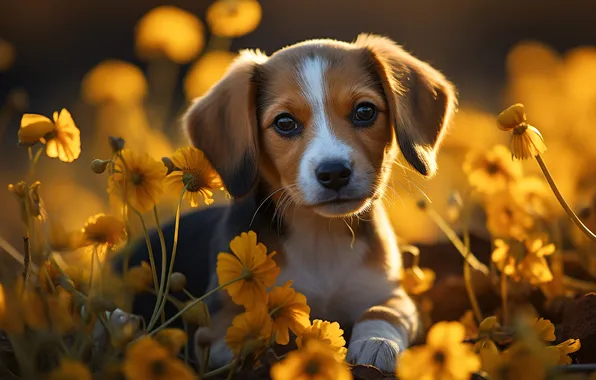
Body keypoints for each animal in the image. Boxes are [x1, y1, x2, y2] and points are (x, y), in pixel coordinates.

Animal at [125, 34, 456, 372]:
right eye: (285, 122)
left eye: (365, 111)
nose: (334, 172)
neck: (322, 234)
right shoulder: (220, 322)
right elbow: (255, 337)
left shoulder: (390, 291)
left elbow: (385, 311)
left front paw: (377, 341)